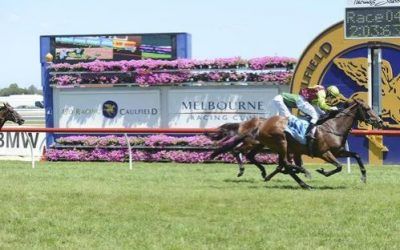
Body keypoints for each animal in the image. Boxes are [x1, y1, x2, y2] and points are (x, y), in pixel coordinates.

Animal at [209, 99, 382, 188]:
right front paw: (322, 171)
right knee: (281, 162)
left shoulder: (338, 151)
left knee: (277, 163)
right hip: (280, 143)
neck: (333, 127)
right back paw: (303, 177)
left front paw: (363, 177)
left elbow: (357, 155)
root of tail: (260, 124)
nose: (379, 121)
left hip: (272, 145)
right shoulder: (324, 153)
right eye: (367, 108)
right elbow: (338, 167)